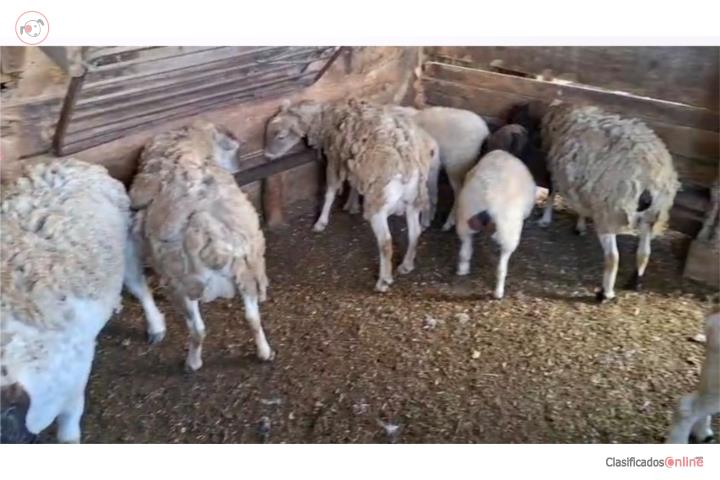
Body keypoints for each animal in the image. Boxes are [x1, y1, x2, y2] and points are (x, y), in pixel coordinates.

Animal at [127, 120, 273, 371]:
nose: (239, 164)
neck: (185, 151)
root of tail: (210, 231)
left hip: (184, 285)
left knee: (198, 330)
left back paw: (192, 363)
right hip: (249, 272)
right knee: (253, 318)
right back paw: (264, 352)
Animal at [264, 98, 437, 292]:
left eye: (280, 136)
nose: (267, 155)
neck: (325, 118)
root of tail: (409, 161)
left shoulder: (334, 159)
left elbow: (330, 191)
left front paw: (321, 222)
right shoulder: (353, 162)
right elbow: (353, 183)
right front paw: (351, 204)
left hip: (378, 201)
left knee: (385, 242)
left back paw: (383, 281)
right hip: (414, 200)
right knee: (414, 233)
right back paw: (406, 265)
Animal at [455, 150, 536, 299]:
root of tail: (489, 203)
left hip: (465, 218)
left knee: (465, 249)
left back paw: (463, 270)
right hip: (509, 232)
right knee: (502, 267)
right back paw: (498, 292)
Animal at [537, 103, 680, 301]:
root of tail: (650, 177)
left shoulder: (558, 171)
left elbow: (552, 192)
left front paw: (546, 219)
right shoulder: (584, 184)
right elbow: (580, 205)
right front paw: (580, 225)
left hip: (610, 210)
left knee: (613, 257)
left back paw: (605, 293)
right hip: (653, 215)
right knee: (644, 252)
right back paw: (635, 282)